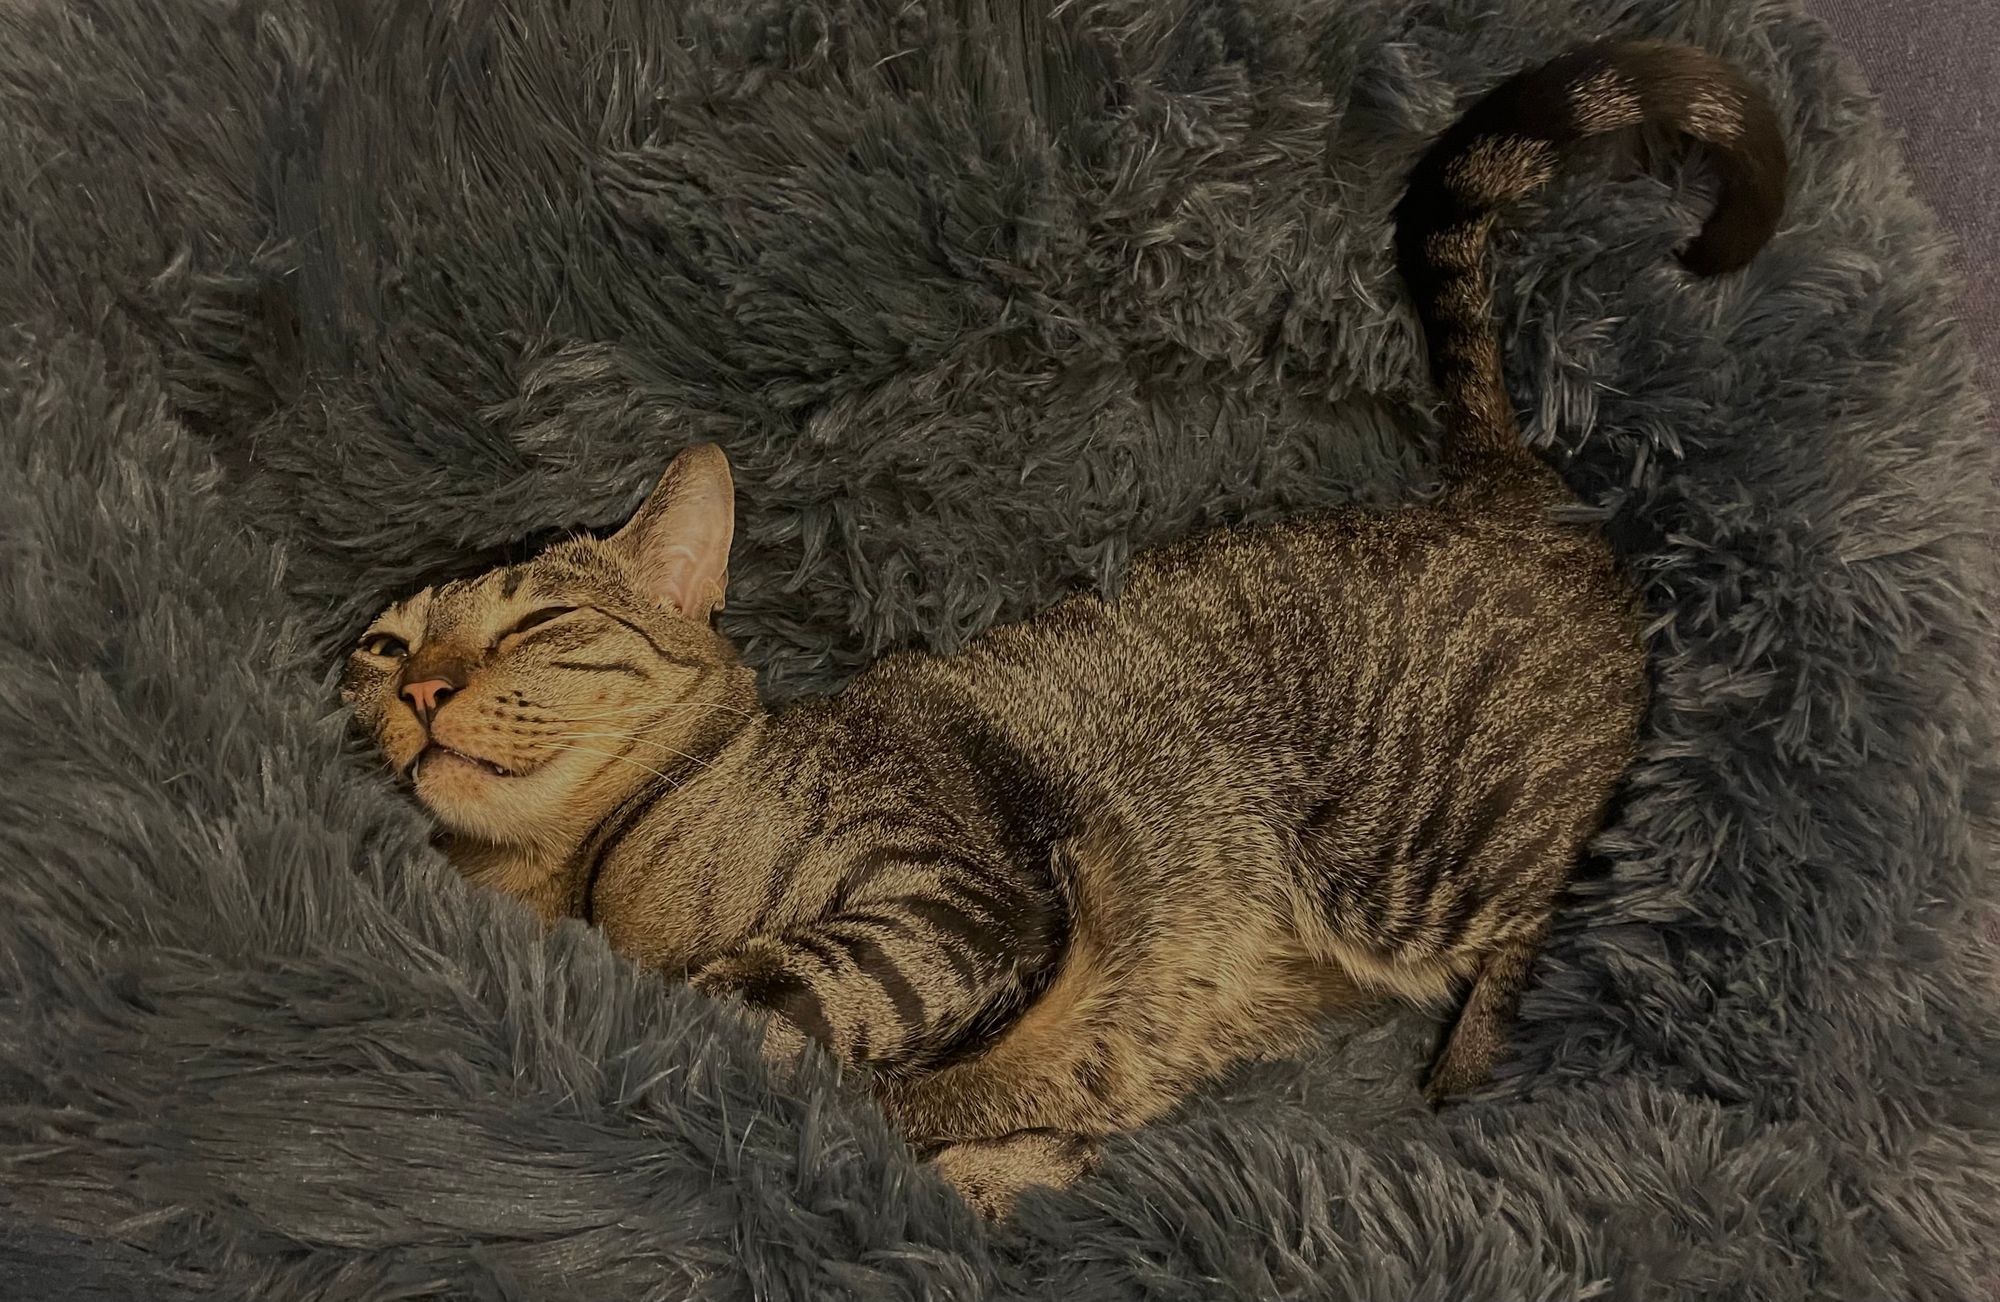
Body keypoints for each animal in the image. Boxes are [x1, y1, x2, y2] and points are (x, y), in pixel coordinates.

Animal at [340, 43, 1784, 1224]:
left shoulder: (950, 894)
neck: (581, 879)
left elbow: (771, 1003)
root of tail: (1497, 485)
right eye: (382, 647)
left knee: (1543, 907)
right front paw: (992, 1167)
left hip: (1415, 860)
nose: (422, 687)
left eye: (542, 618)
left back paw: (1462, 1067)